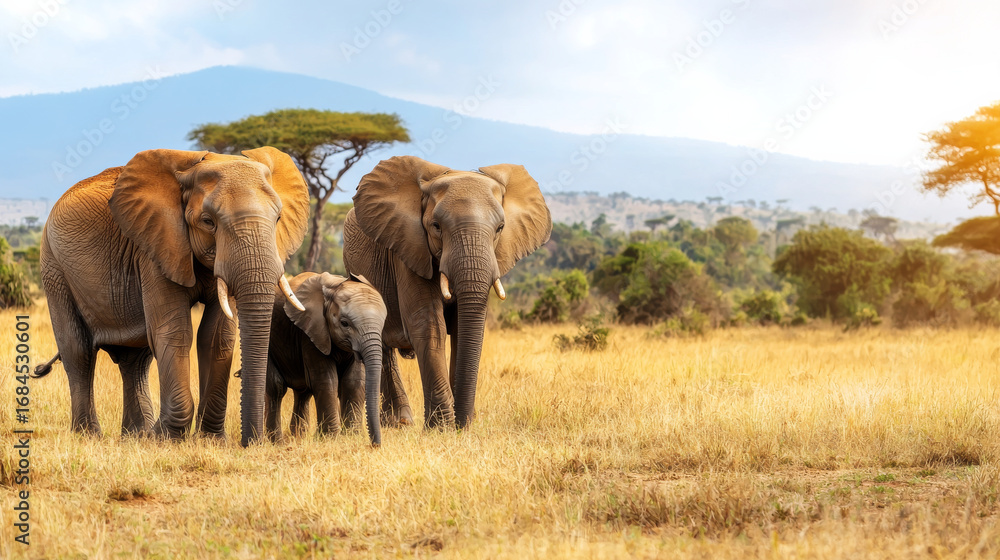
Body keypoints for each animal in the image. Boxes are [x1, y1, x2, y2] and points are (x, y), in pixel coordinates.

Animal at [32, 147, 310, 446]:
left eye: (278, 219)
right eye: (208, 222)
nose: (252, 442)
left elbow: (217, 336)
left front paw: (211, 440)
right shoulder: (155, 246)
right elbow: (175, 331)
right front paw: (167, 438)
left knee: (135, 359)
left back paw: (136, 435)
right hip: (53, 266)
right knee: (79, 350)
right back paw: (89, 435)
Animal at [262, 272, 387, 446]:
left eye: (382, 324)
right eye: (344, 323)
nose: (375, 445)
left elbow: (353, 381)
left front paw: (350, 436)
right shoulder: (311, 333)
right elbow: (326, 380)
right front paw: (331, 438)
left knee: (303, 392)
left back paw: (299, 437)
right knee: (276, 387)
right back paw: (277, 442)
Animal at [343, 156, 552, 429]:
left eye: (500, 228)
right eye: (436, 227)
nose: (464, 424)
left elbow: (464, 330)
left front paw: (459, 423)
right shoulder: (408, 249)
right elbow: (429, 325)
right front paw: (441, 427)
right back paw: (400, 422)